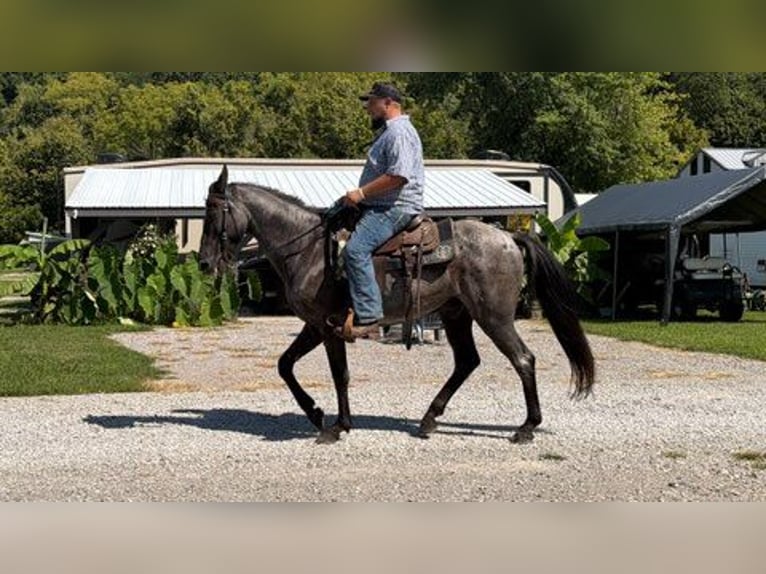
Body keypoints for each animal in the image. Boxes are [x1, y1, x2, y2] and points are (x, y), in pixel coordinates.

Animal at [199, 166, 595, 444]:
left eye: (214, 214)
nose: (203, 263)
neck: (308, 250)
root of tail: (509, 236)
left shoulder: (328, 326)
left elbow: (339, 374)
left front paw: (337, 426)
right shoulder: (313, 325)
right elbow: (285, 365)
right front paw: (315, 412)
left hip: (494, 316)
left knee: (523, 359)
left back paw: (526, 427)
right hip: (456, 314)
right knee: (467, 361)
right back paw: (429, 419)